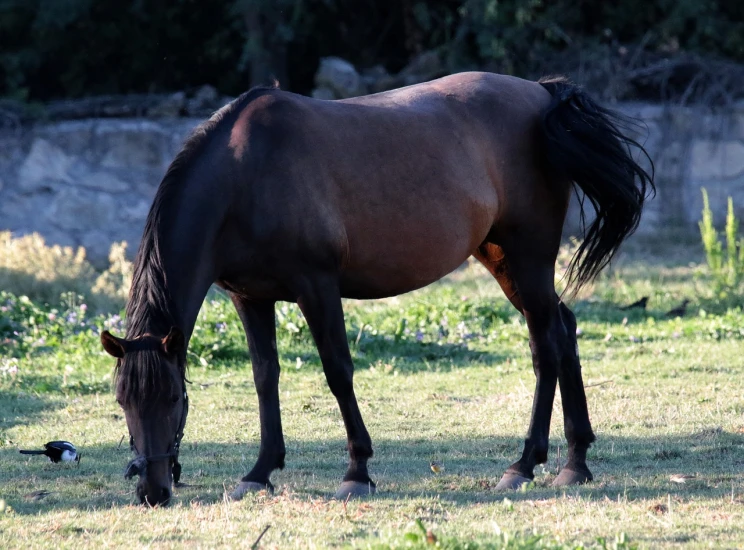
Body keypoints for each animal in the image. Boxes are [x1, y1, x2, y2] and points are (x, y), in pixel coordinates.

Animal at [99, 71, 652, 506]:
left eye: (174, 398)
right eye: (122, 401)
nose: (152, 491)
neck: (245, 175)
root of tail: (540, 93)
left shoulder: (317, 287)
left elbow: (338, 372)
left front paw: (357, 472)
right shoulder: (250, 297)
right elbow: (264, 376)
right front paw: (259, 472)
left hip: (528, 257)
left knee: (545, 345)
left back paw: (528, 464)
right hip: (501, 259)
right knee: (564, 328)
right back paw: (571, 462)